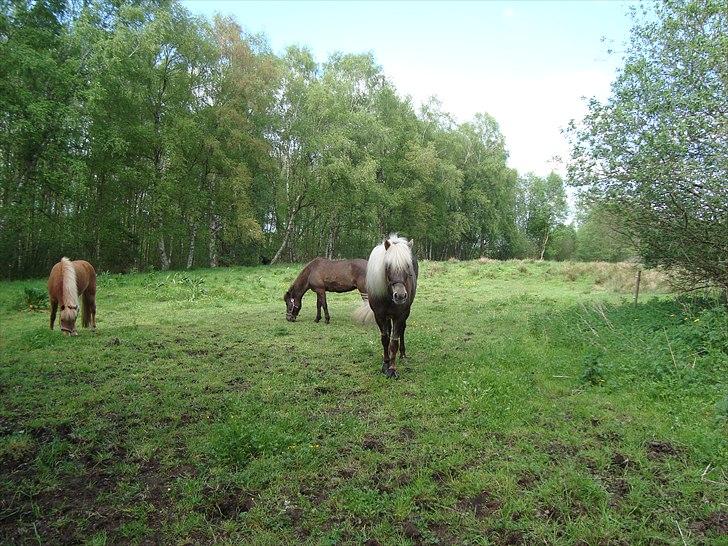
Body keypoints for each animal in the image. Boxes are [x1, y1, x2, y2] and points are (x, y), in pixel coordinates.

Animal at [364, 232, 420, 376]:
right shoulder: (379, 315)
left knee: (402, 331)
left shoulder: (400, 316)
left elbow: (394, 341)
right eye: (387, 266)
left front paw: (392, 368)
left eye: (408, 266)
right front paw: (385, 363)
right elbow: (385, 339)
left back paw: (403, 354)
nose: (400, 296)